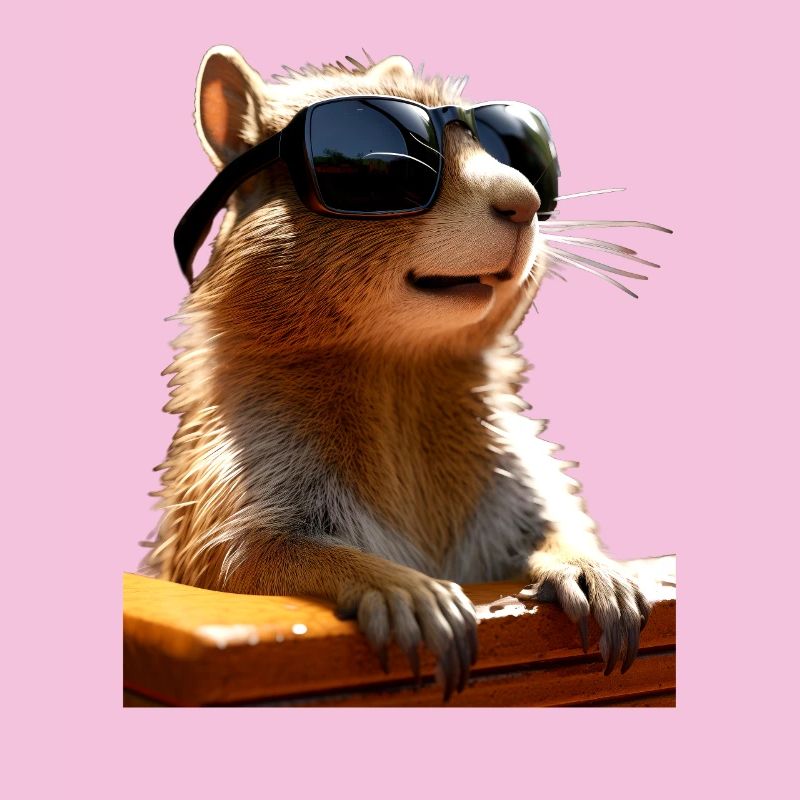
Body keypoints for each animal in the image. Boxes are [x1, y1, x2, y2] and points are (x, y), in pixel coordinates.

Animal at [143, 45, 654, 701]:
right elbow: (249, 558)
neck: (399, 369)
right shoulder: (233, 481)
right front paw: (406, 590)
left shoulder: (521, 476)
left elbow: (553, 522)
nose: (525, 200)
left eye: (521, 152)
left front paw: (595, 569)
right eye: (380, 166)